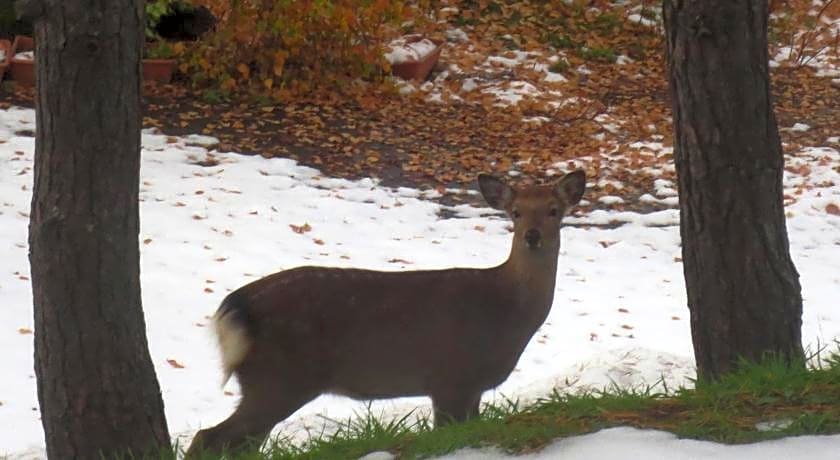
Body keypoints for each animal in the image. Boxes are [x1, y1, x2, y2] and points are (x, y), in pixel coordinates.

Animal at [187, 169, 588, 456]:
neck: (508, 314)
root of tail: (235, 309)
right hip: (279, 377)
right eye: (515, 212)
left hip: (267, 382)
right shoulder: (451, 377)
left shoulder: (471, 387)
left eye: (554, 211)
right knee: (209, 438)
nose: (532, 235)